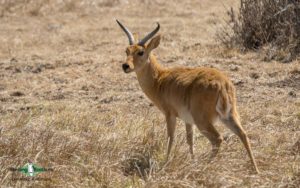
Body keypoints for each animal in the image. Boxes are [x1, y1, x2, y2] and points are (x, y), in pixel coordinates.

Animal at [116, 19, 258, 173]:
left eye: (141, 52)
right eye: (127, 50)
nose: (125, 66)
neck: (160, 80)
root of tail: (222, 84)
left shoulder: (170, 114)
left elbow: (170, 138)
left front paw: (166, 163)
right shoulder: (188, 120)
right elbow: (190, 140)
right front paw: (192, 161)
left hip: (203, 120)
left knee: (218, 139)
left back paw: (204, 166)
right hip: (229, 116)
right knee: (243, 134)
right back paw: (255, 170)